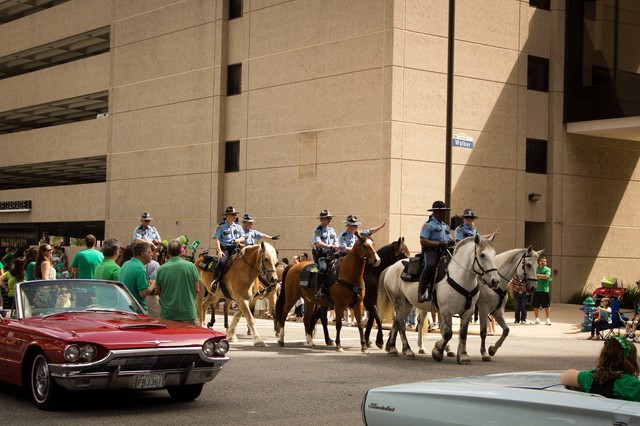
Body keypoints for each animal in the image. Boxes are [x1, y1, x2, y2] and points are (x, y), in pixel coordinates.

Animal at [430, 235, 500, 364]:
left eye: (494, 254)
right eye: (482, 255)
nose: (495, 281)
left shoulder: (468, 312)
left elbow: (463, 334)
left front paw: (462, 355)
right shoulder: (447, 310)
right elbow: (448, 333)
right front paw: (437, 351)